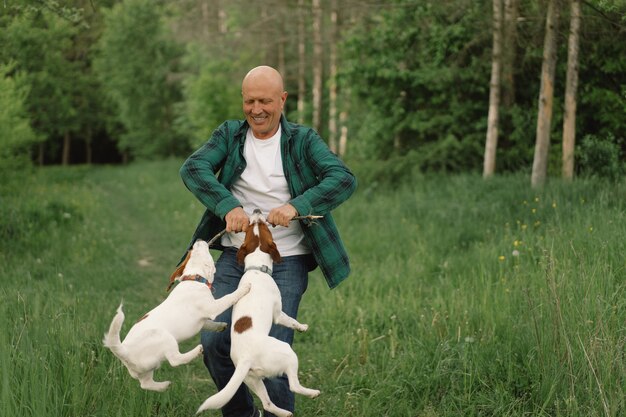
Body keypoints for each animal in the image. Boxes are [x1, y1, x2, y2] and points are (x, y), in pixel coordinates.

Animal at [102, 239, 249, 392]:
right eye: (193, 249)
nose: (198, 239)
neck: (194, 279)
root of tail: (125, 351)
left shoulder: (204, 319)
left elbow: (209, 324)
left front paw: (220, 326)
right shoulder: (213, 307)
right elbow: (229, 297)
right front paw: (244, 288)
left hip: (145, 370)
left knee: (145, 384)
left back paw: (164, 385)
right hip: (164, 337)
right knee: (175, 360)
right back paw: (196, 351)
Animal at [195, 210, 320, 416]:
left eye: (252, 227)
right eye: (262, 226)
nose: (256, 211)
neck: (257, 270)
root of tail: (246, 358)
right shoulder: (278, 312)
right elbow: (290, 320)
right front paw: (302, 326)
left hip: (252, 379)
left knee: (267, 403)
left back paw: (284, 412)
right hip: (287, 353)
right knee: (293, 385)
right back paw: (312, 393)